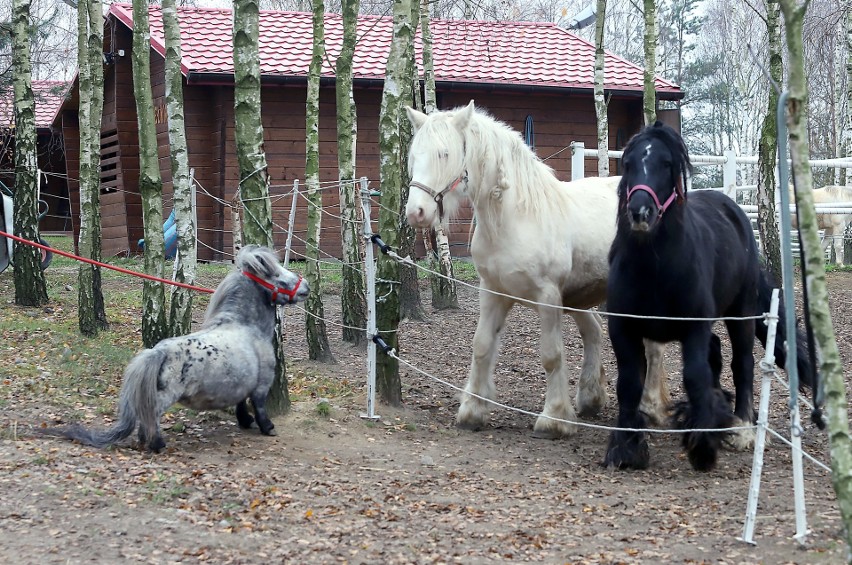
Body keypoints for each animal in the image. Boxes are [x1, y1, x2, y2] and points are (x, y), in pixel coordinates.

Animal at [43, 245, 310, 452]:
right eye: (278, 276)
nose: (305, 286)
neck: (245, 326)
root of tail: (158, 352)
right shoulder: (262, 384)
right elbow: (259, 405)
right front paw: (267, 427)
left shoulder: (243, 383)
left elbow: (241, 404)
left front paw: (246, 422)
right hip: (166, 396)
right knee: (149, 413)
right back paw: (156, 444)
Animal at [402, 101, 668, 436]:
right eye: (414, 155)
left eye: (444, 154)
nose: (416, 212)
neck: (515, 218)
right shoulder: (492, 292)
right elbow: (481, 346)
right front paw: (473, 410)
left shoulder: (548, 296)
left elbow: (551, 355)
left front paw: (554, 417)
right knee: (594, 332)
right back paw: (591, 397)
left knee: (653, 348)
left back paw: (650, 407)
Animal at [604, 123, 816, 472]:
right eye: (628, 164)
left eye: (666, 164)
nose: (640, 212)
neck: (653, 268)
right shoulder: (624, 329)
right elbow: (629, 383)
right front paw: (626, 448)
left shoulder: (693, 328)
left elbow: (695, 375)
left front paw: (702, 447)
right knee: (715, 353)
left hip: (740, 315)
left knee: (742, 363)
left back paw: (742, 429)